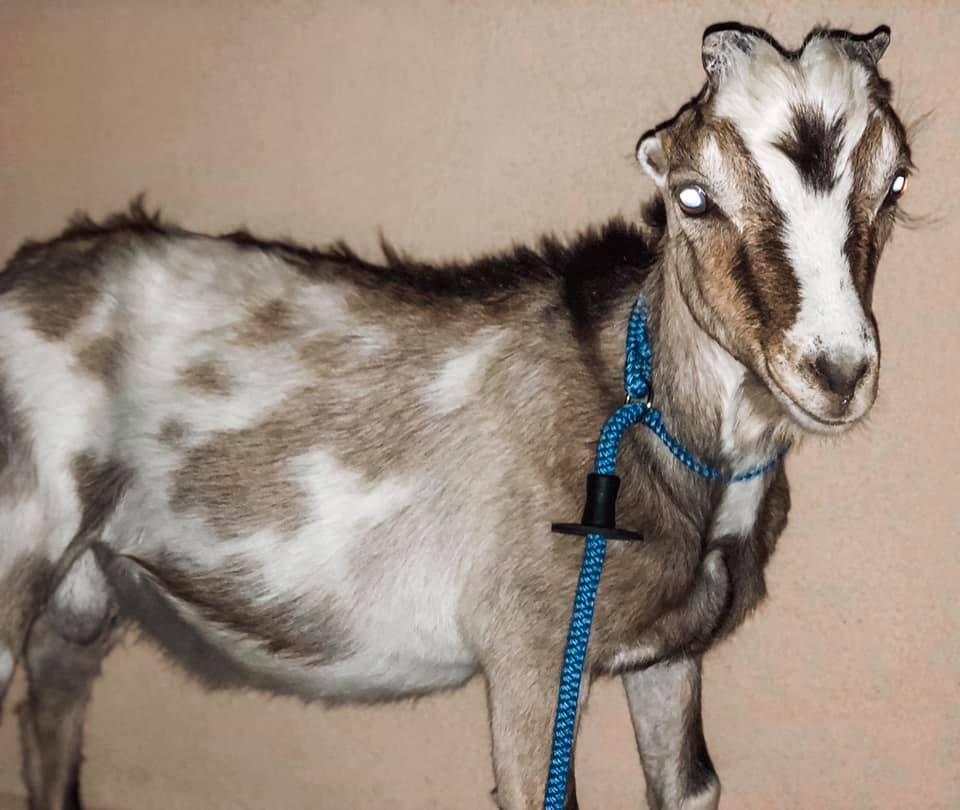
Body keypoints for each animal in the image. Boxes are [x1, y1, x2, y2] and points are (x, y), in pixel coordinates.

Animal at [0, 23, 911, 810]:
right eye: (692, 196)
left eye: (896, 181)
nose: (836, 372)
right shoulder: (530, 653)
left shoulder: (670, 656)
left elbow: (689, 786)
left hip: (74, 608)